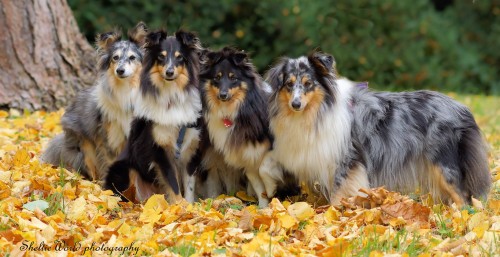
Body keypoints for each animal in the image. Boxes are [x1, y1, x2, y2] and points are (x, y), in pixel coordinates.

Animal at [41, 22, 147, 180]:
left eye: (132, 57)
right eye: (115, 58)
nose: (120, 71)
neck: (127, 91)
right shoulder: (109, 139)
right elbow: (110, 163)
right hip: (85, 147)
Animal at [104, 29, 202, 203]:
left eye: (179, 57)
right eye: (161, 57)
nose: (169, 72)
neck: (171, 98)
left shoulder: (191, 150)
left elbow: (189, 187)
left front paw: (191, 206)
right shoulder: (159, 151)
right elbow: (173, 184)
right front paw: (179, 206)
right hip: (125, 168)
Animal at [262, 52, 492, 206]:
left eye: (308, 83)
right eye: (289, 84)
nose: (295, 104)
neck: (318, 110)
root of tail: (461, 107)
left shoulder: (348, 160)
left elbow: (338, 193)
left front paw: (332, 216)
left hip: (444, 163)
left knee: (463, 197)